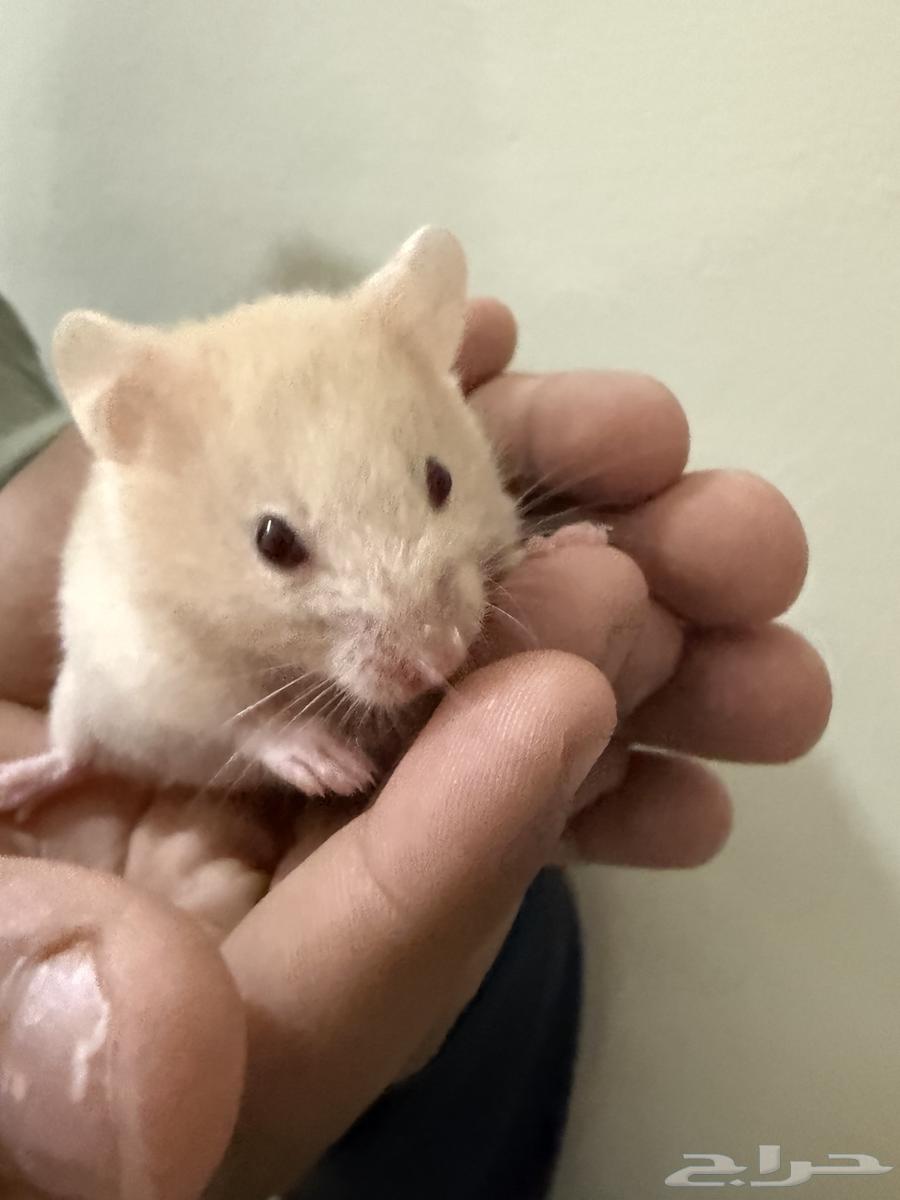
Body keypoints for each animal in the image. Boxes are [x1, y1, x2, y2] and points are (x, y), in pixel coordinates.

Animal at [0, 228, 523, 811]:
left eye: (441, 480)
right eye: (272, 542)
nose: (442, 658)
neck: (283, 662)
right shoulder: (165, 672)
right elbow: (248, 724)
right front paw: (337, 769)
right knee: (72, 757)